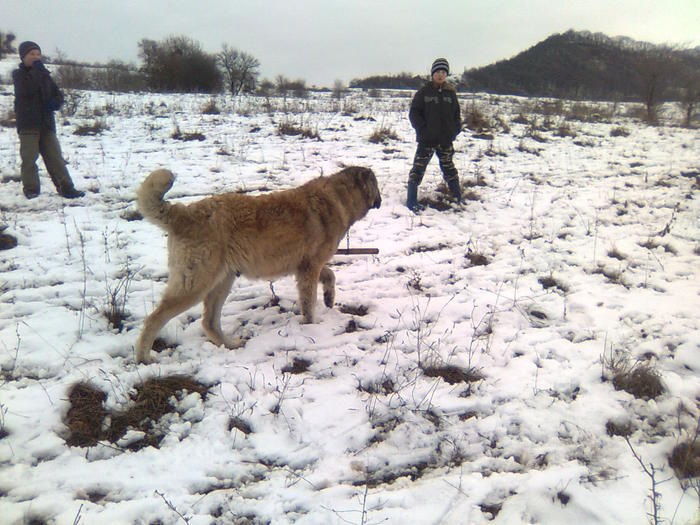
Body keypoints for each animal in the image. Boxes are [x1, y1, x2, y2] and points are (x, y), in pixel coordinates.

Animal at [136, 166, 382, 362]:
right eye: (377, 186)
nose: (381, 200)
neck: (339, 198)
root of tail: (181, 212)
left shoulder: (306, 267)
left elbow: (330, 275)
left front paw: (329, 298)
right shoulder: (309, 269)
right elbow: (309, 304)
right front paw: (312, 326)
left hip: (221, 283)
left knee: (209, 322)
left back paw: (231, 345)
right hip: (195, 285)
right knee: (154, 319)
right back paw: (144, 358)